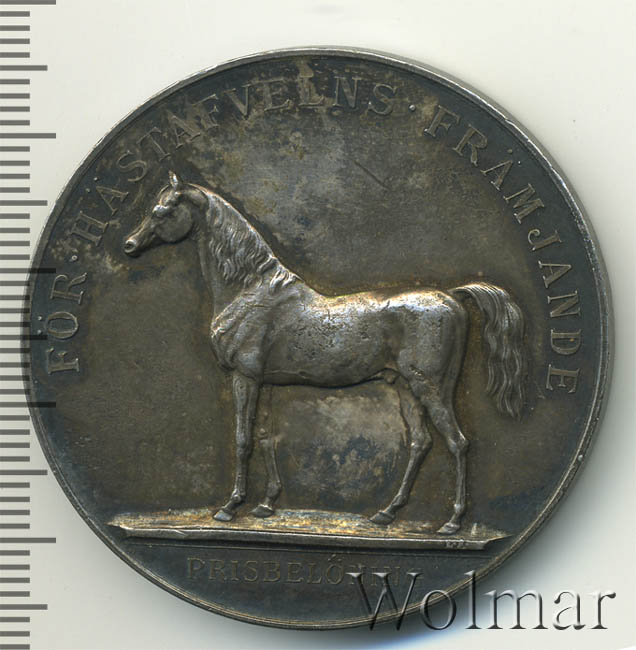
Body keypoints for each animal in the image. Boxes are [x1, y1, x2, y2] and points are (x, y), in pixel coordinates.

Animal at [124, 172, 526, 534]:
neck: (249, 290)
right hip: (405, 387)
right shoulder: (266, 383)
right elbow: (265, 437)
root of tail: (451, 296)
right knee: (420, 442)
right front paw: (267, 505)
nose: (129, 245)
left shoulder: (244, 377)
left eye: (161, 210)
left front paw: (230, 507)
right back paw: (387, 513)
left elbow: (242, 439)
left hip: (430, 387)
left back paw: (452, 523)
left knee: (457, 443)